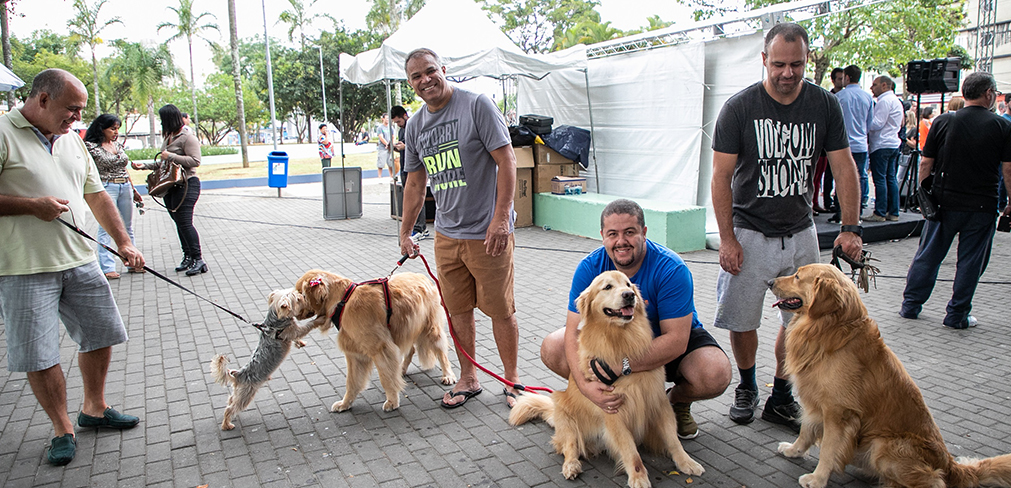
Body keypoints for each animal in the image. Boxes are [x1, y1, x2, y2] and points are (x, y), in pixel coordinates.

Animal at [295, 268, 456, 414]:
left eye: (300, 295)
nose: (295, 314)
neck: (343, 301)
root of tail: (423, 277)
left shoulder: (381, 348)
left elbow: (386, 378)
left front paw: (392, 401)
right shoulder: (355, 353)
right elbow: (352, 382)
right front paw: (345, 403)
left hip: (430, 328)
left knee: (442, 351)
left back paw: (448, 375)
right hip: (406, 328)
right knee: (411, 349)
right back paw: (402, 369)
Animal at [509, 270, 699, 488]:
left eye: (628, 285)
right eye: (607, 287)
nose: (629, 295)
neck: (619, 337)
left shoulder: (657, 400)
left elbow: (672, 438)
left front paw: (686, 462)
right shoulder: (612, 410)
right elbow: (630, 450)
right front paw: (638, 477)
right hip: (564, 412)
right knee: (570, 446)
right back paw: (571, 466)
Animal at [768, 262, 1011, 488]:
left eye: (797, 276)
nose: (769, 281)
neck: (829, 328)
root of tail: (950, 464)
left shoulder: (839, 412)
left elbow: (828, 448)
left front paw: (817, 479)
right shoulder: (816, 404)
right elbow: (806, 431)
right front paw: (794, 450)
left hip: (883, 445)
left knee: (934, 480)